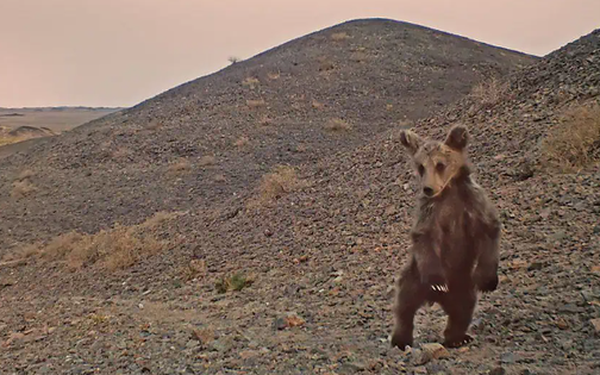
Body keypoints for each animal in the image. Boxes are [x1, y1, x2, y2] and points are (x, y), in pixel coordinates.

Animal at [390, 125, 502, 352]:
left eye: (440, 164)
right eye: (421, 166)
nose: (428, 188)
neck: (449, 191)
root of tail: (436, 300)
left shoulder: (472, 202)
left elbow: (488, 229)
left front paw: (487, 281)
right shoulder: (431, 212)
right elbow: (425, 238)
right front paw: (437, 282)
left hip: (462, 283)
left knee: (463, 309)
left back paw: (457, 338)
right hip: (415, 276)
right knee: (405, 304)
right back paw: (400, 339)